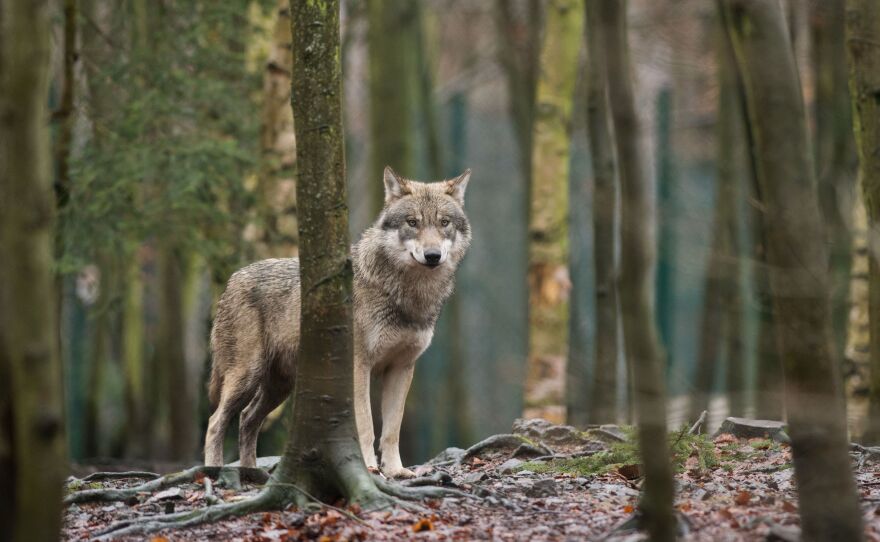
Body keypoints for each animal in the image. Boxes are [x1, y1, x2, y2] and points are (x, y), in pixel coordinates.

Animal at [205, 167, 474, 480]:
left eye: (444, 223)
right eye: (412, 222)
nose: (433, 256)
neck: (406, 295)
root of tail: (232, 279)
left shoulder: (402, 368)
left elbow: (392, 429)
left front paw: (396, 471)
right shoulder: (359, 366)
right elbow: (366, 425)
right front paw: (369, 467)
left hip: (279, 386)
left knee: (247, 419)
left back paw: (251, 473)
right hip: (247, 376)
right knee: (216, 421)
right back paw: (213, 470)